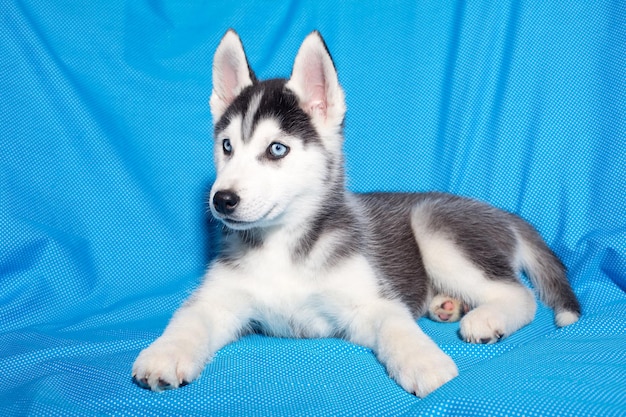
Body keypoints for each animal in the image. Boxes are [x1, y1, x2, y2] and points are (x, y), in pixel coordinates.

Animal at [133, 30, 580, 396]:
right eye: (226, 146)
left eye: (276, 149)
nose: (222, 199)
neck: (283, 245)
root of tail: (503, 213)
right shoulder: (220, 299)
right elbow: (188, 319)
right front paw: (164, 353)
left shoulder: (370, 301)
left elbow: (397, 325)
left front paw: (425, 362)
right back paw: (446, 305)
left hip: (433, 227)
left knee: (519, 294)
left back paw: (485, 319)